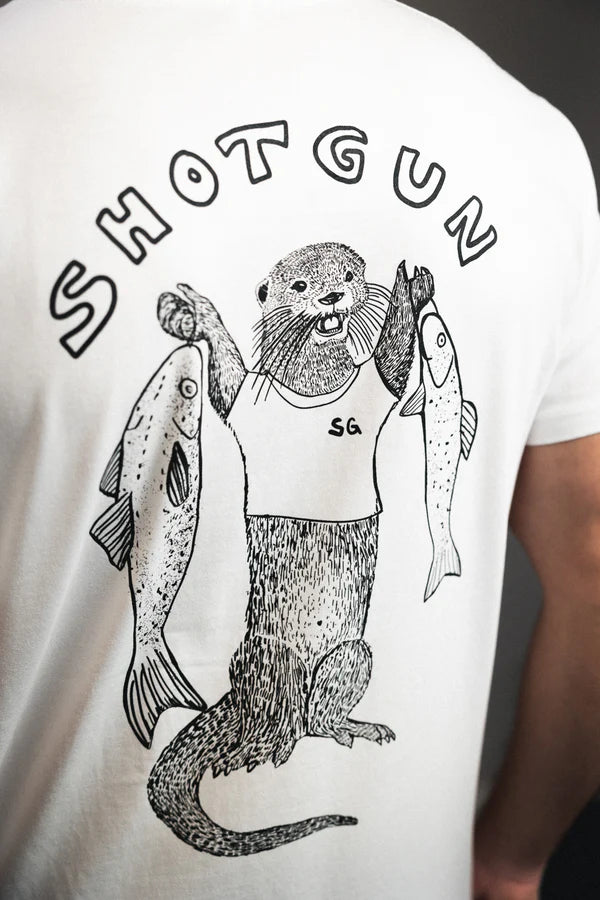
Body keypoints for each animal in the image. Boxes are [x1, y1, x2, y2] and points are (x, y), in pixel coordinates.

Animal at [147, 241, 422, 857]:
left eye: (349, 274)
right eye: (299, 286)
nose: (332, 296)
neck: (315, 385)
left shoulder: (377, 383)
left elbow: (394, 357)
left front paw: (412, 289)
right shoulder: (243, 397)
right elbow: (225, 369)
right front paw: (199, 311)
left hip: (350, 656)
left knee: (319, 715)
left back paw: (350, 728)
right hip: (270, 660)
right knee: (275, 715)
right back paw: (255, 748)